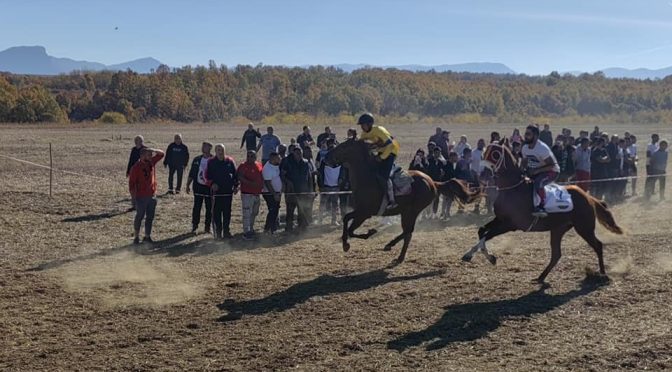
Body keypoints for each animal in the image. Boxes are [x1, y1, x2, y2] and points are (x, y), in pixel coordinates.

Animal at [324, 140, 478, 264]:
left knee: (408, 232)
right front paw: (345, 243)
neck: (367, 178)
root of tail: (432, 182)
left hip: (412, 211)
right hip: (406, 212)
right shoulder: (360, 211)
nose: (326, 158)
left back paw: (394, 249)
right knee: (407, 232)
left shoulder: (364, 213)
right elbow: (346, 219)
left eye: (343, 147)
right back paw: (395, 250)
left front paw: (367, 234)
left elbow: (351, 229)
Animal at [462, 140, 624, 282]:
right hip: (558, 229)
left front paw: (483, 257)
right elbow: (482, 231)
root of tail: (589, 198)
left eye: (495, 154)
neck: (512, 189)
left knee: (598, 245)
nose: (483, 175)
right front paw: (476, 256)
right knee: (556, 254)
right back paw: (540, 277)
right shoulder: (500, 219)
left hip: (584, 228)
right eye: (484, 152)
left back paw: (603, 274)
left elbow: (487, 236)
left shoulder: (510, 225)